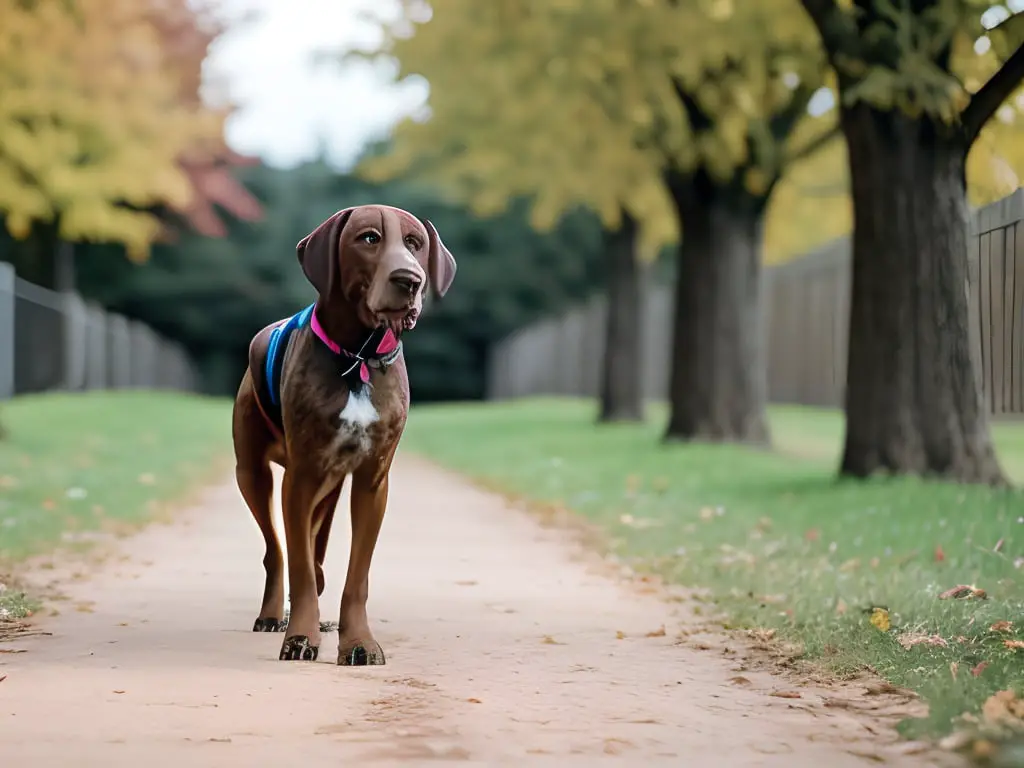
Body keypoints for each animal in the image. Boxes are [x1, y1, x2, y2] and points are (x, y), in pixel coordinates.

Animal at [234, 207, 458, 663]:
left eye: (414, 243)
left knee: (313, 548)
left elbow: (356, 574)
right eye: (369, 238)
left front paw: (358, 642)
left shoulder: (372, 481)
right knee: (276, 549)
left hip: (329, 485)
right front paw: (300, 638)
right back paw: (273, 614)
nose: (410, 280)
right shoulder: (300, 477)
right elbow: (299, 564)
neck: (360, 356)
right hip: (252, 473)